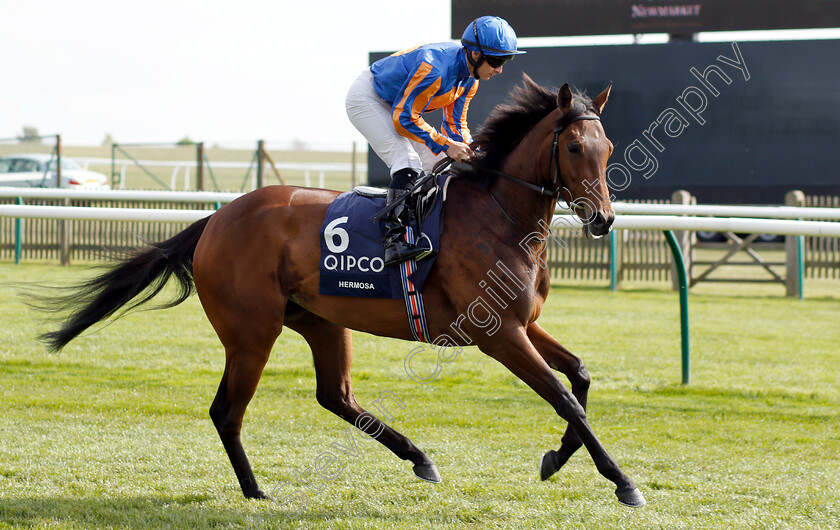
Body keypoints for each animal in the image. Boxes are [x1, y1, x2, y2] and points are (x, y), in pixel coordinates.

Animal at [36, 75, 648, 508]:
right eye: (574, 148)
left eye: (608, 145)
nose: (603, 220)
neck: (497, 213)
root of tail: (214, 220)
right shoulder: (497, 334)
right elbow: (564, 395)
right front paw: (622, 481)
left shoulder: (524, 324)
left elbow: (580, 376)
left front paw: (556, 458)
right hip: (252, 332)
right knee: (227, 410)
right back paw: (255, 491)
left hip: (320, 319)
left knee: (336, 395)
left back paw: (419, 458)